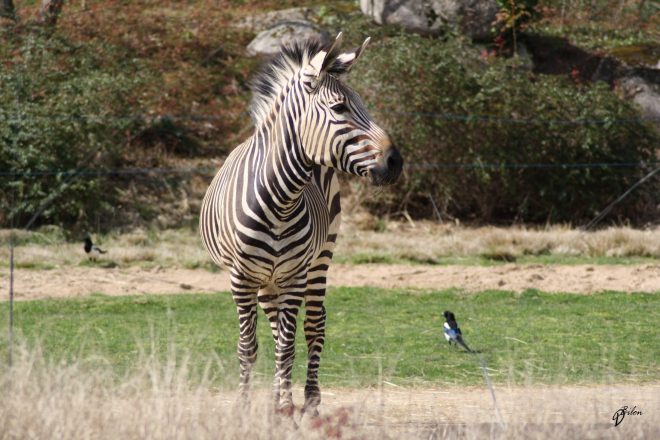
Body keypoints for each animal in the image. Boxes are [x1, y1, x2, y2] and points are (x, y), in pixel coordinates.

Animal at [199, 33, 403, 415]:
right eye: (339, 109)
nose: (396, 162)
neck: (279, 201)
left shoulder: (294, 276)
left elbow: (287, 347)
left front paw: (285, 409)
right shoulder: (241, 278)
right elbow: (249, 347)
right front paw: (248, 407)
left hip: (320, 257)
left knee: (313, 325)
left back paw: (308, 399)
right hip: (267, 280)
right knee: (276, 327)